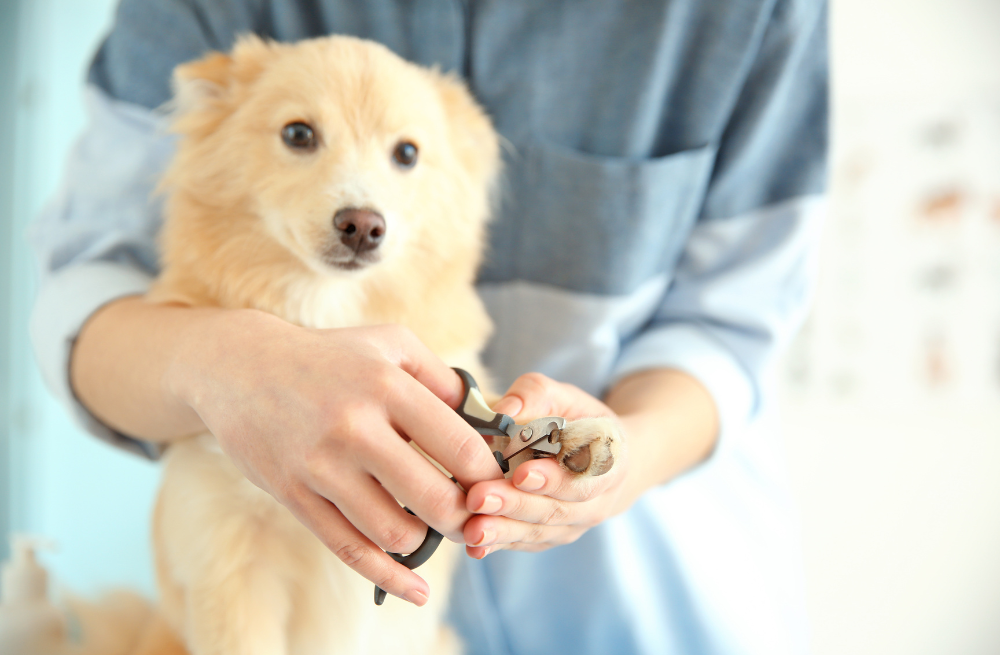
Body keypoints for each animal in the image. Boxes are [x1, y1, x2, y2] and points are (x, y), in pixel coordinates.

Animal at [137, 36, 620, 655]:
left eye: (407, 153)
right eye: (298, 134)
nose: (363, 225)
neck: (332, 311)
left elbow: (501, 413)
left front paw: (580, 435)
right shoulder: (226, 557)